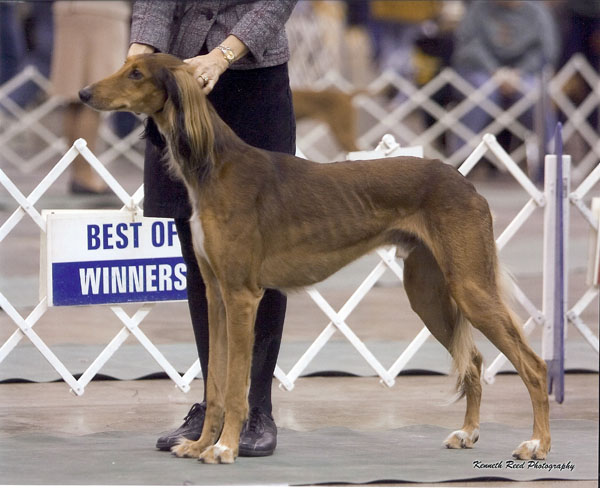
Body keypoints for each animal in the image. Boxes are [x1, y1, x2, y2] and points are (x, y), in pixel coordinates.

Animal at [81, 53, 552, 466]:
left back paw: (538, 444)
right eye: (125, 65)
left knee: (533, 364)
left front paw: (225, 448)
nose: (84, 92)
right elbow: (214, 383)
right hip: (429, 294)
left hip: (470, 286)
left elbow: (234, 385)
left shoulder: (242, 295)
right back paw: (468, 432)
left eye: (137, 73)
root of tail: (463, 180)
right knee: (472, 361)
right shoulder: (215, 293)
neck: (217, 167)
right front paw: (200, 444)